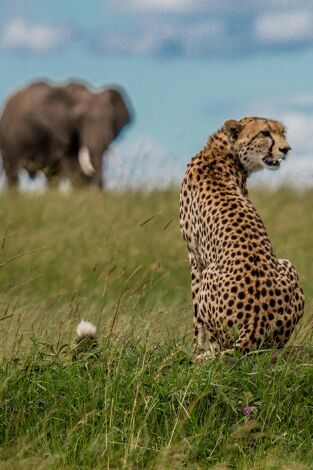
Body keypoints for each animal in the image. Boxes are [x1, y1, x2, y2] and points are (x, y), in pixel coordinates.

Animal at [0, 80, 132, 188]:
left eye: (111, 120)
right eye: (79, 120)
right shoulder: (60, 131)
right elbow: (73, 166)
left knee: (51, 176)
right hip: (7, 140)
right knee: (12, 172)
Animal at [179, 115, 304, 358]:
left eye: (282, 133)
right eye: (265, 133)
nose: (286, 149)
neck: (222, 152)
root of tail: (256, 324)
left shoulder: (194, 257)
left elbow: (197, 317)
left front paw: (197, 347)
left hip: (211, 271)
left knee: (221, 347)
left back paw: (206, 355)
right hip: (287, 265)